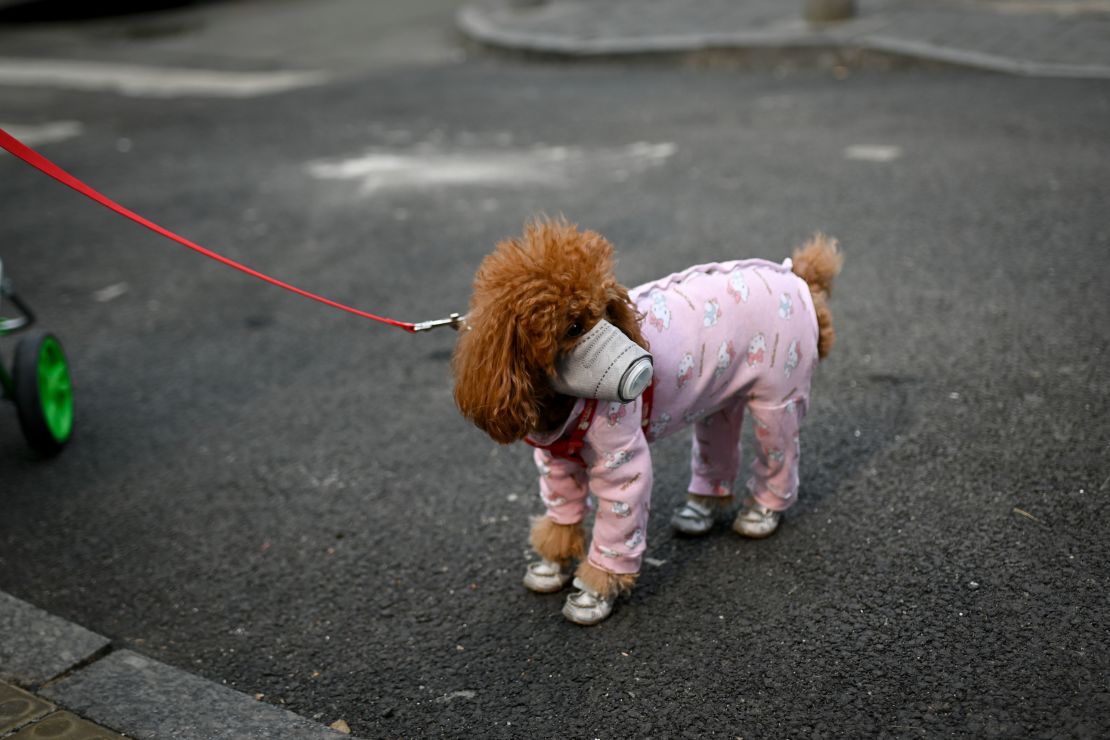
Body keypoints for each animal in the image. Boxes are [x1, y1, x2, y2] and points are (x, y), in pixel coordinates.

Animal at [452, 219, 839, 625]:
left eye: (608, 310)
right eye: (572, 326)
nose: (641, 368)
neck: (561, 401)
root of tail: (796, 275)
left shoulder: (622, 462)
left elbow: (618, 525)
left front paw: (594, 593)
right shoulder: (555, 462)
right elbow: (562, 513)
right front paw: (552, 564)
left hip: (779, 395)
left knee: (778, 448)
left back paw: (761, 513)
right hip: (722, 394)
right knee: (718, 438)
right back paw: (701, 509)